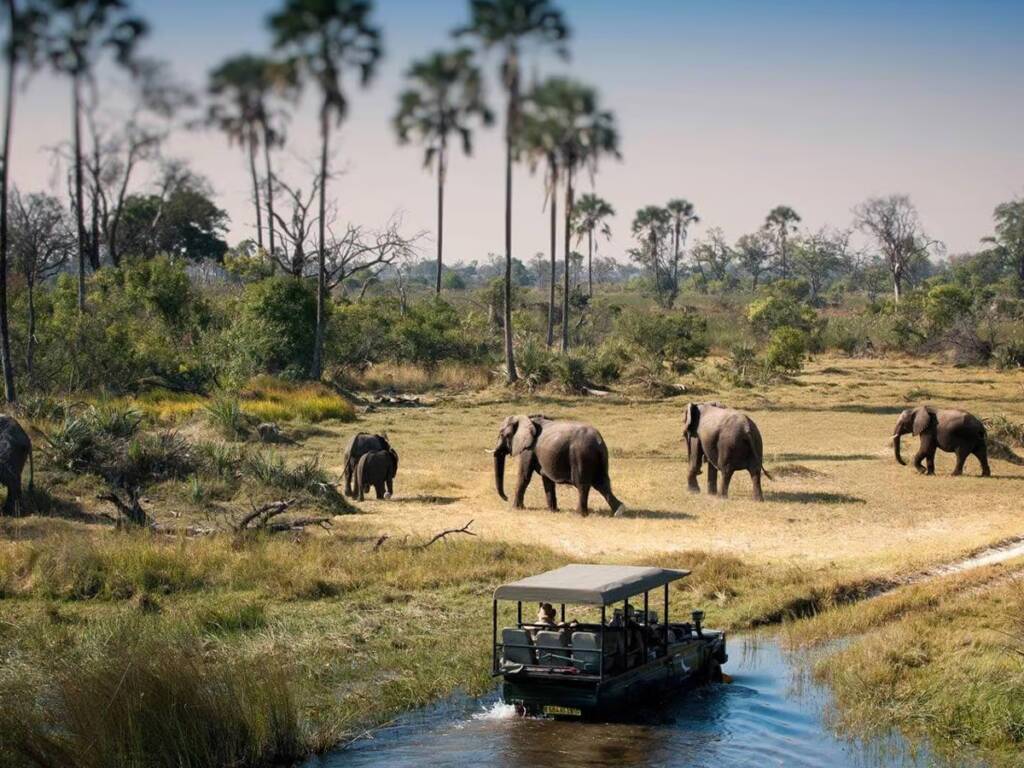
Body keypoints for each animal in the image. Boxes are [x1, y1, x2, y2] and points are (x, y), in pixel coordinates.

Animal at [492, 414, 625, 517]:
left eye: (502, 434)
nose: (506, 498)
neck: (527, 418)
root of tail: (598, 441)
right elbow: (547, 480)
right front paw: (553, 511)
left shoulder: (528, 449)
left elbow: (524, 476)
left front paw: (515, 508)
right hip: (600, 457)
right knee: (602, 483)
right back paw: (619, 511)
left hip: (581, 455)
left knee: (582, 484)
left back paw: (579, 514)